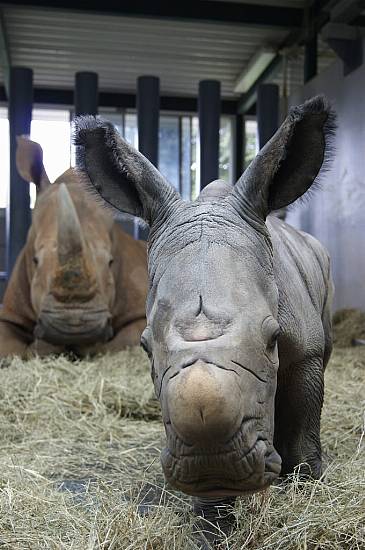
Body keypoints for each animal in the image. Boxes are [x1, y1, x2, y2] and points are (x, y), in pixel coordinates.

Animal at [0, 136, 148, 360]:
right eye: (35, 260)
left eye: (111, 262)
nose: (74, 327)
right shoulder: (10, 312)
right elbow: (7, 345)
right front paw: (43, 347)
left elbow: (123, 340)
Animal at [75, 96, 334, 540]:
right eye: (145, 348)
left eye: (273, 339)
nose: (218, 464)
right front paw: (212, 525)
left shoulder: (307, 351)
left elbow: (303, 421)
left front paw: (307, 488)